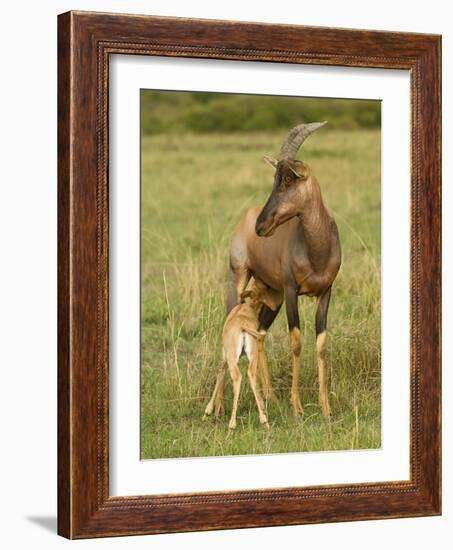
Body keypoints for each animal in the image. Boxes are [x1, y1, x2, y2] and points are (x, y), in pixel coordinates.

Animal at [228, 122, 340, 418]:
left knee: (259, 334)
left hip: (272, 295)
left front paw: (326, 408)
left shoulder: (326, 292)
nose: (261, 225)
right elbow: (296, 342)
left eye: (289, 179)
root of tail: (243, 220)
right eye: (275, 178)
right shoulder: (291, 291)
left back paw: (269, 397)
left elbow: (321, 344)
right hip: (239, 278)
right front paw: (297, 407)